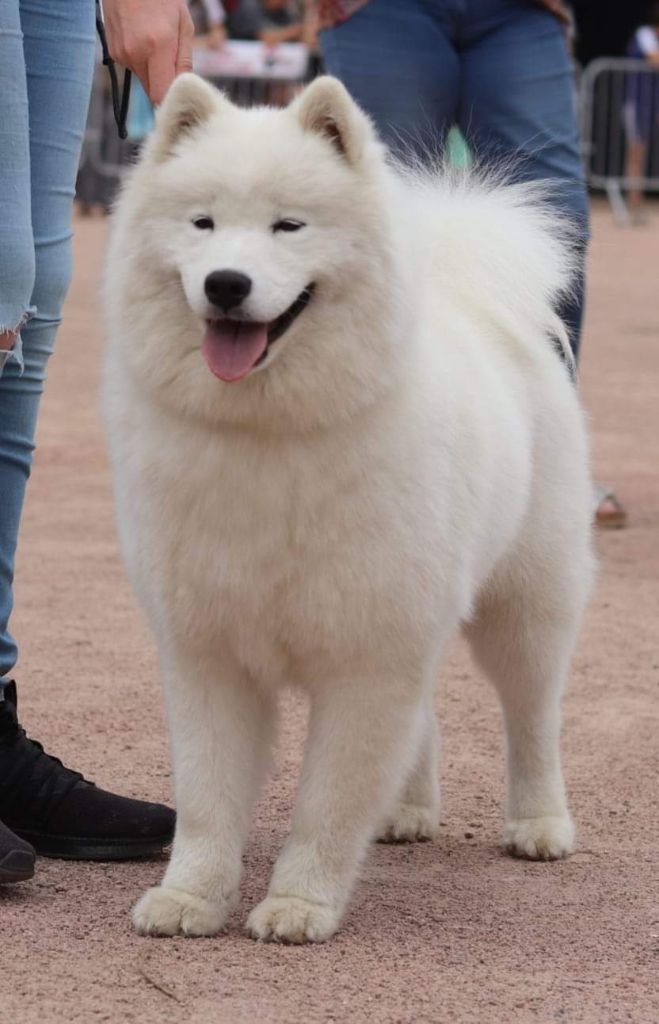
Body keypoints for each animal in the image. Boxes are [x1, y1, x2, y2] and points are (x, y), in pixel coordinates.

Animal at [101, 72, 593, 942]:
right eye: (203, 224)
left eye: (287, 225)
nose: (226, 283)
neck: (268, 434)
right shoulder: (206, 653)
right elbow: (207, 797)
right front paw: (190, 898)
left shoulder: (368, 654)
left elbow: (326, 804)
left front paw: (299, 904)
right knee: (426, 720)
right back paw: (406, 813)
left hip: (525, 604)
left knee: (531, 715)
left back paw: (538, 825)